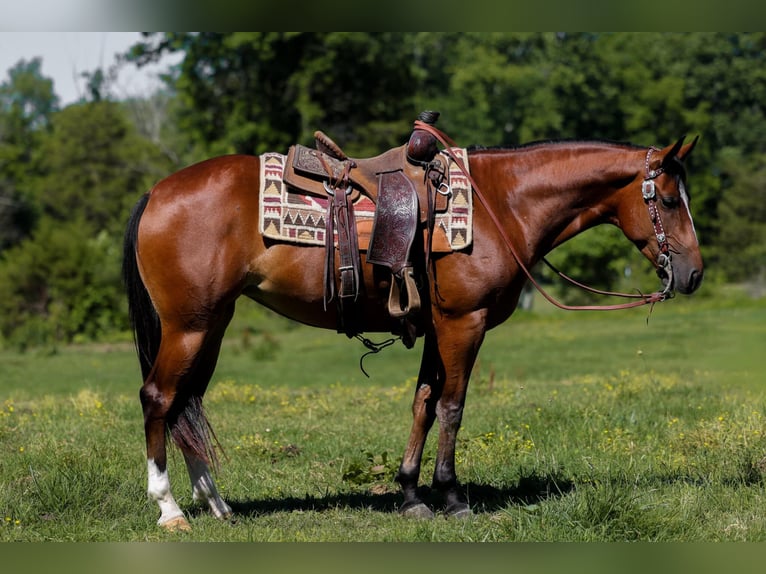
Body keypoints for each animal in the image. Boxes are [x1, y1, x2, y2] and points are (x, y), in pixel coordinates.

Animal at [122, 128, 703, 531]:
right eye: (670, 200)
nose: (694, 274)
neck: (502, 204)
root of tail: (155, 192)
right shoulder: (464, 324)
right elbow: (452, 407)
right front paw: (451, 496)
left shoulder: (435, 328)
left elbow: (424, 402)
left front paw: (409, 494)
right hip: (189, 326)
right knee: (159, 397)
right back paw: (170, 509)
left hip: (212, 325)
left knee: (186, 403)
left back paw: (217, 503)